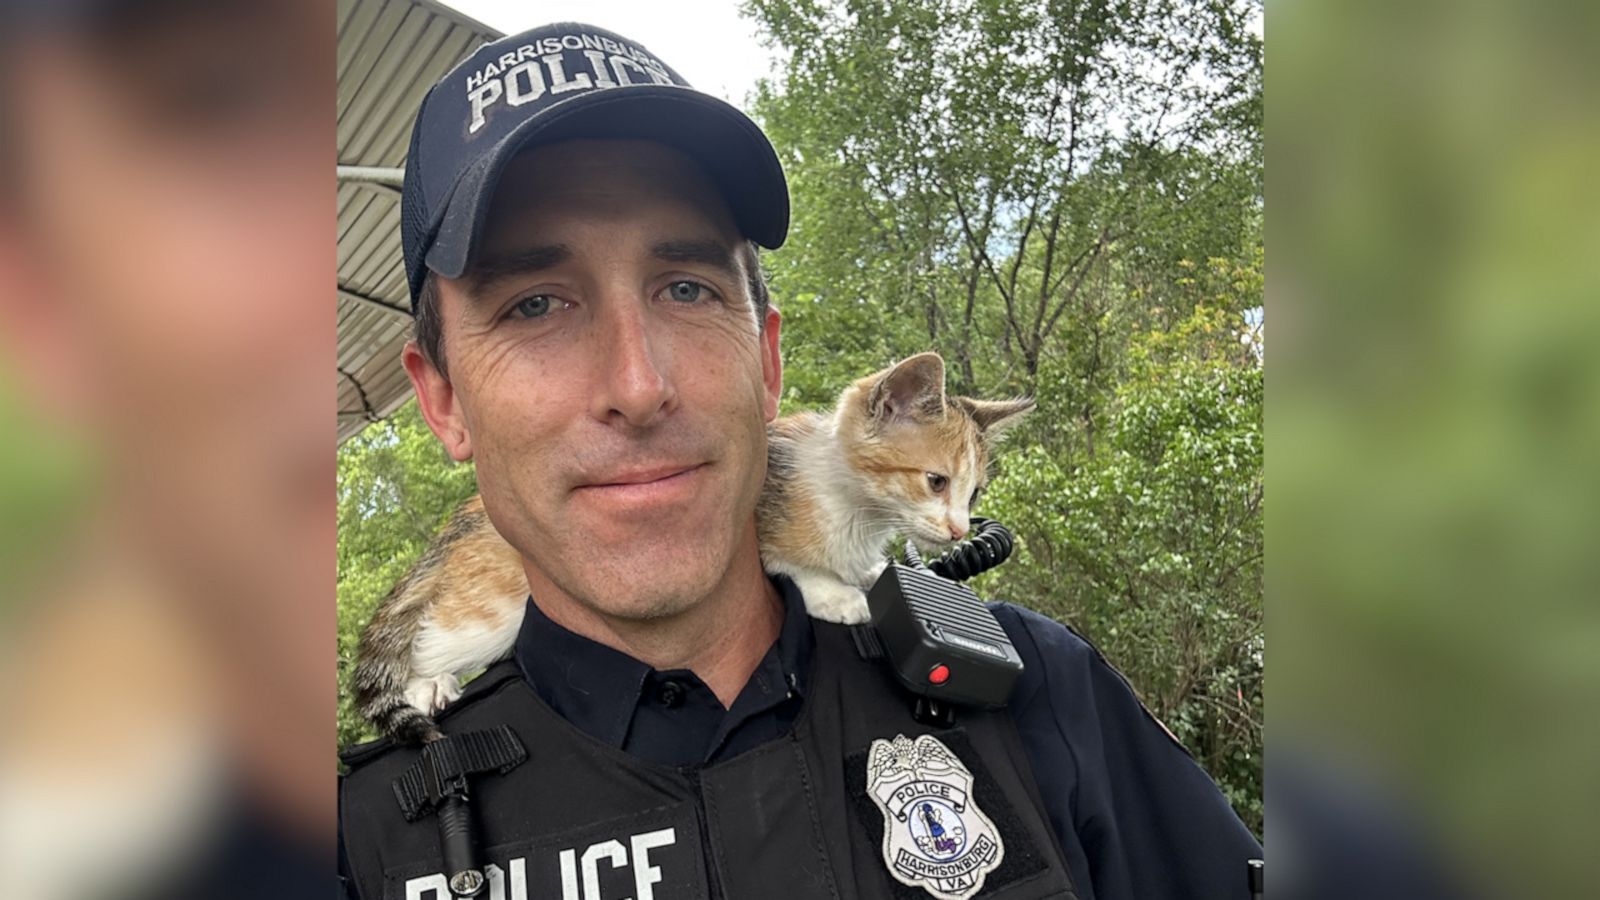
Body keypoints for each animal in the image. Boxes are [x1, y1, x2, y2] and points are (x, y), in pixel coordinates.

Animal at [355, 352, 1030, 743]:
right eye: (935, 481)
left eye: (974, 492)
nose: (959, 532)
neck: (853, 505)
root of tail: (459, 525)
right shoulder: (743, 524)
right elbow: (790, 562)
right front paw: (839, 596)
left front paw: (879, 580)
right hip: (498, 604)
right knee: (433, 633)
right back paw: (426, 685)